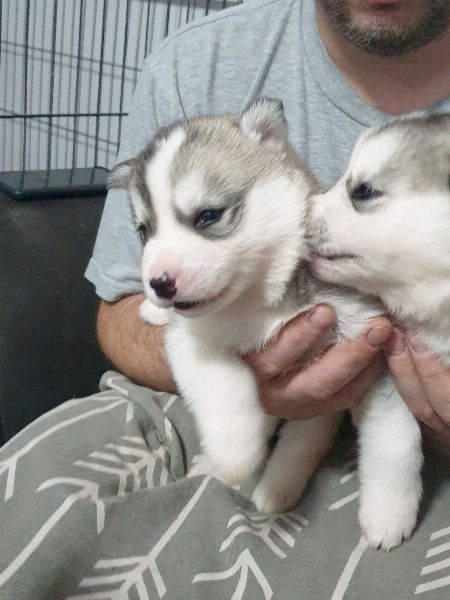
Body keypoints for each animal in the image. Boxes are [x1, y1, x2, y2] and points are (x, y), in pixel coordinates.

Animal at [109, 99, 400, 548]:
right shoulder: (192, 342)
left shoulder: (372, 344)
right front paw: (233, 455)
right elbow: (227, 386)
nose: (158, 283)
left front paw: (388, 514)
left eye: (208, 215)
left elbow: (389, 439)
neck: (262, 298)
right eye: (144, 232)